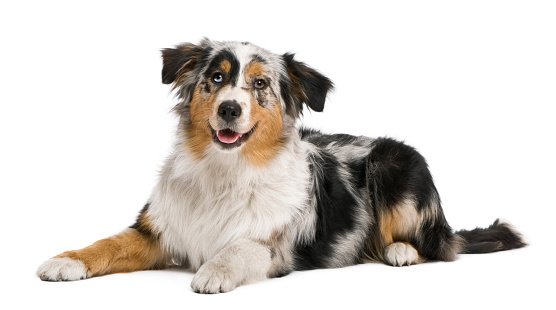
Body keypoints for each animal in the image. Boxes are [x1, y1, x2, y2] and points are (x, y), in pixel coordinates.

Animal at [38, 38, 524, 294]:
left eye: (260, 84)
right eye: (216, 77)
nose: (230, 109)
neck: (225, 172)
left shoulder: (275, 248)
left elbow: (238, 248)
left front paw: (213, 271)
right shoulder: (156, 229)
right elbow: (106, 243)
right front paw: (66, 260)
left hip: (395, 165)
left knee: (439, 246)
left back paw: (401, 251)